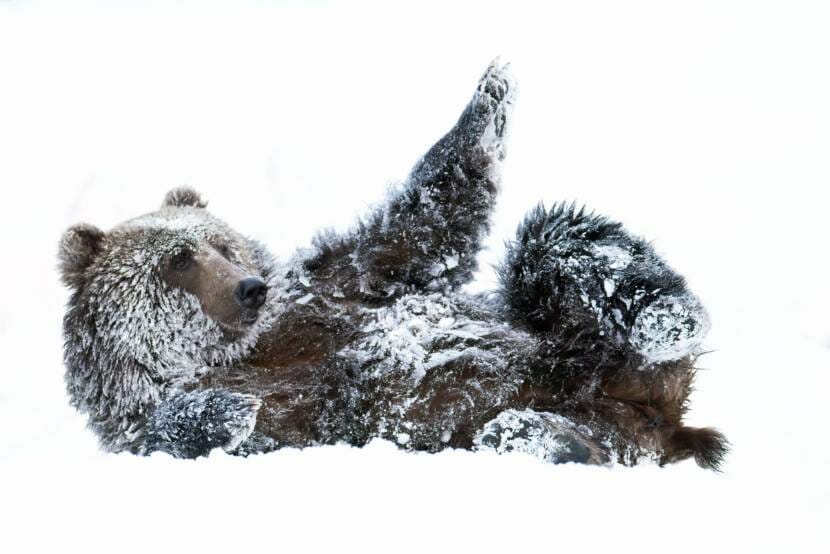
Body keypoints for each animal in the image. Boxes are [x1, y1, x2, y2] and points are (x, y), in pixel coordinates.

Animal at [58, 62, 732, 468]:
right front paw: (224, 411)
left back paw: (666, 316)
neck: (235, 354)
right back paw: (550, 438)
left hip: (573, 334)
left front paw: (488, 101)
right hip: (608, 430)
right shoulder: (163, 419)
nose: (249, 288)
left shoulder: (328, 292)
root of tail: (661, 415)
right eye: (177, 260)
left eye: (224, 246)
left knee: (560, 241)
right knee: (530, 431)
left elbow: (411, 234)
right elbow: (178, 430)